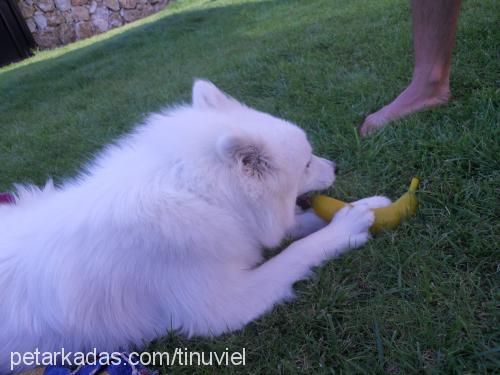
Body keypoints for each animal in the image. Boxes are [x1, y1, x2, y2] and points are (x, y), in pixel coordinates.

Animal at [0, 79, 388, 374]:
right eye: (307, 164)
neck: (194, 191)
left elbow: (298, 227)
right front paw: (348, 225)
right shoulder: (220, 307)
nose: (335, 166)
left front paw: (367, 205)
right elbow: (296, 250)